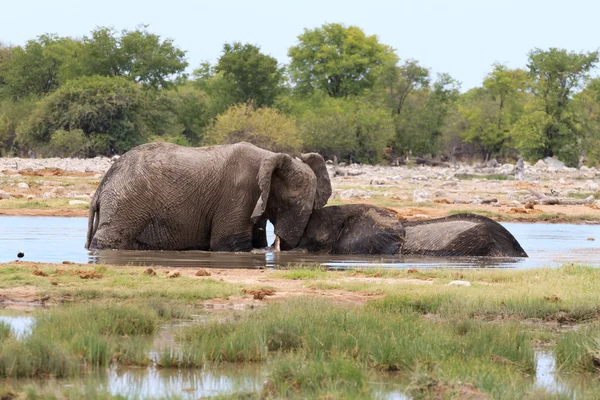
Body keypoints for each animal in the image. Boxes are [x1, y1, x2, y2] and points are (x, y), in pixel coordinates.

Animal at [86, 142, 332, 252]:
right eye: (289, 203)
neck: (269, 156)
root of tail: (100, 188)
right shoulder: (237, 195)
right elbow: (229, 244)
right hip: (124, 206)